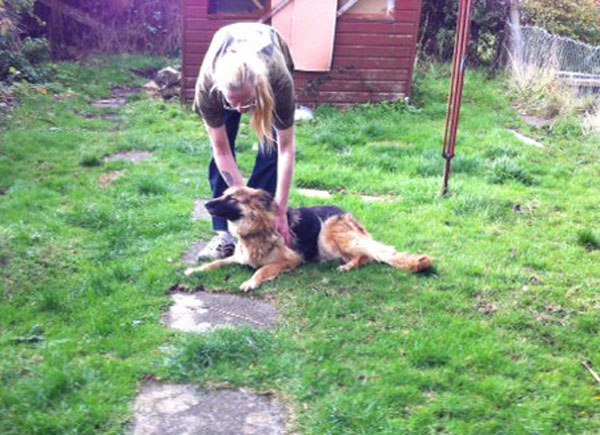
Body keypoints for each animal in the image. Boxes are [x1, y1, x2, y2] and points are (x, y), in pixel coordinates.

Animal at [185, 187, 434, 292]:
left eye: (232, 198)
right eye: (223, 194)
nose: (206, 204)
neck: (257, 229)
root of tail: (348, 214)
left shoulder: (290, 260)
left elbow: (262, 270)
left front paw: (250, 282)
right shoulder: (238, 258)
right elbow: (215, 263)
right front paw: (194, 270)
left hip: (328, 236)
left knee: (368, 255)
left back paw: (347, 266)